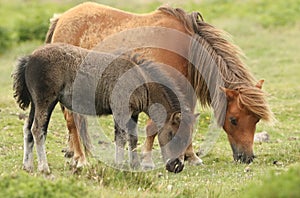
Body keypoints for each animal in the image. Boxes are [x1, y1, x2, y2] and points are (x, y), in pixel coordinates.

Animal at [12, 43, 198, 173]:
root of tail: (30, 58)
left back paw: (27, 166)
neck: (140, 80)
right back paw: (44, 167)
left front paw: (135, 165)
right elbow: (121, 138)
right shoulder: (120, 111)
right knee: (37, 129)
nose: (178, 167)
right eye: (173, 134)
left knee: (28, 129)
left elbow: (132, 138)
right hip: (45, 101)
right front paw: (119, 164)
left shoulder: (133, 113)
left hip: (35, 104)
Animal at [45, 2, 274, 168]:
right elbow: (153, 127)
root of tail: (60, 19)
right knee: (72, 121)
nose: (247, 157)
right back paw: (80, 159)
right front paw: (147, 160)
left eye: (255, 120)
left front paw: (190, 156)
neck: (185, 46)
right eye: (233, 119)